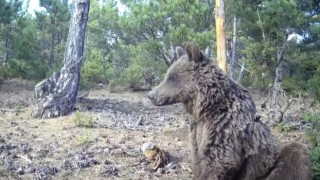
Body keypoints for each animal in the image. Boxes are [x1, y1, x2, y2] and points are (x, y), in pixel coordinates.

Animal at [148, 43, 312, 179]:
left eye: (171, 78)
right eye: (167, 75)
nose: (151, 95)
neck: (206, 106)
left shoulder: (224, 126)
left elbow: (218, 161)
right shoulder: (197, 128)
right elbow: (198, 157)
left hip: (270, 163)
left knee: (296, 153)